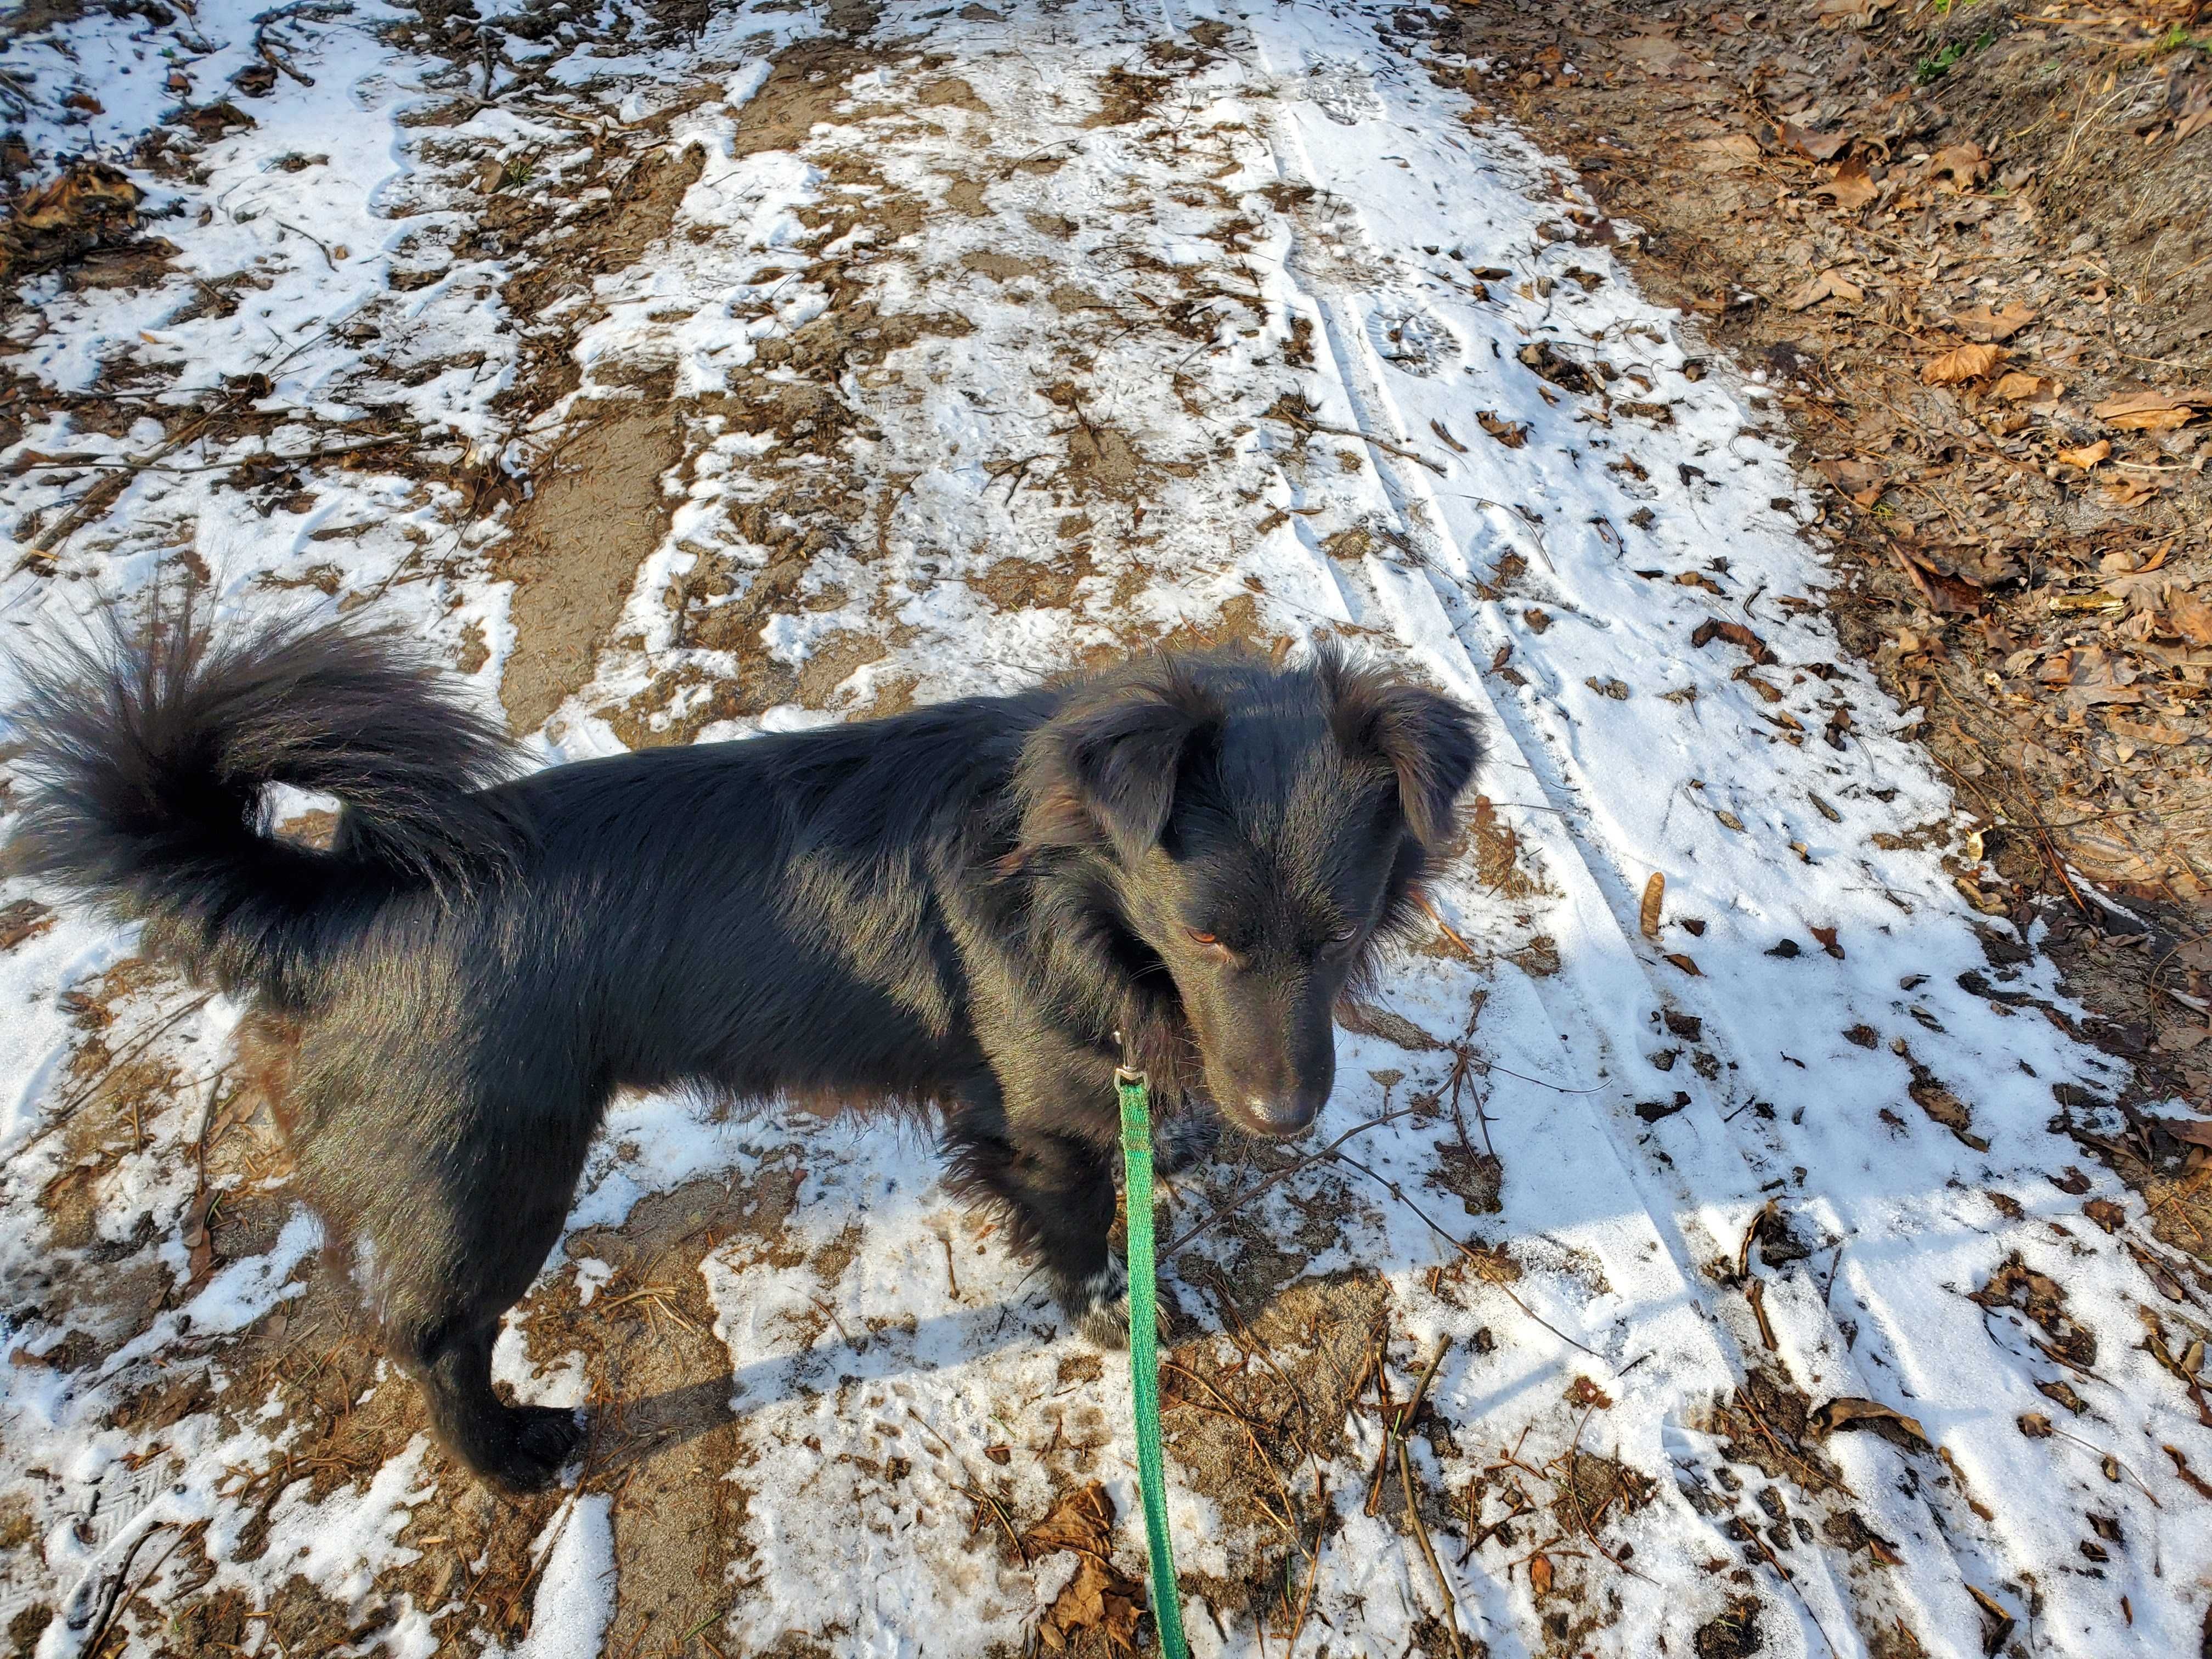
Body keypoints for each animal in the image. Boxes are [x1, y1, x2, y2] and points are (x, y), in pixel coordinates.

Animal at [13, 610, 1486, 1495]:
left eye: (1339, 931)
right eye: (1208, 933)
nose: (1283, 1115)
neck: (1078, 892)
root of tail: (331, 902)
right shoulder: (1037, 1122)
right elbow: (1080, 1236)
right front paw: (1121, 1317)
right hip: (492, 1170)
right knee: (435, 1337)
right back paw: (511, 1455)